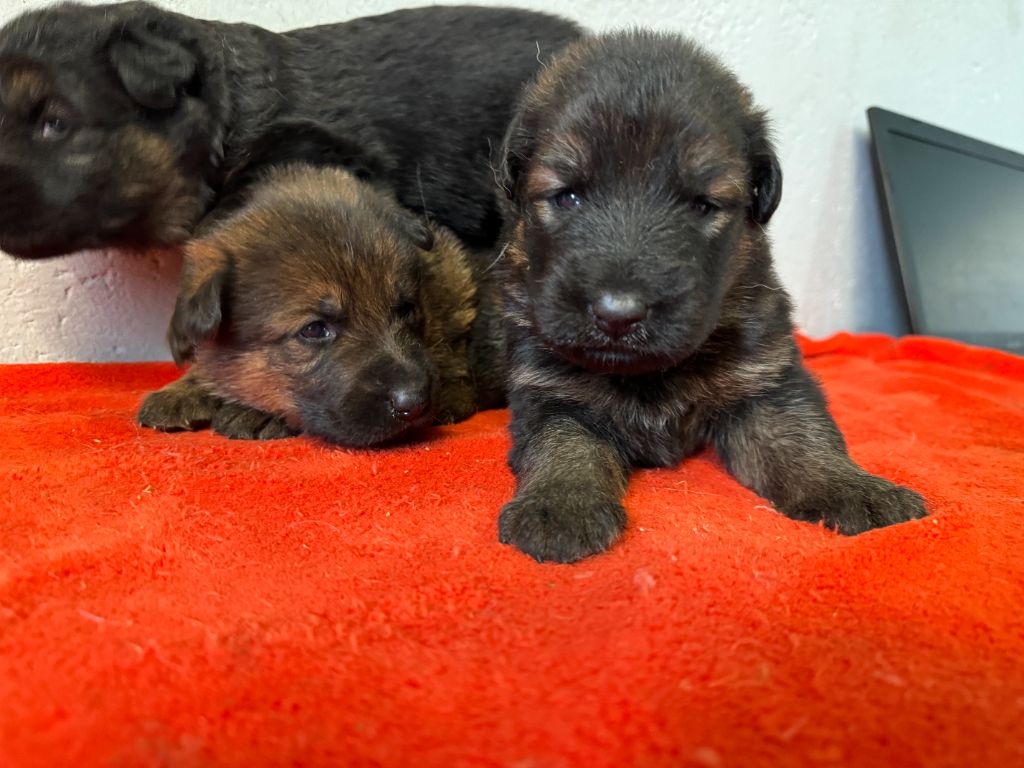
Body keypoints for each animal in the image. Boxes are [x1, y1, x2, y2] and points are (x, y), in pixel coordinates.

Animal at [493, 31, 927, 563]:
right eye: (566, 195)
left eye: (702, 205)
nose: (618, 315)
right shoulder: (549, 389)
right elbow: (562, 446)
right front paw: (560, 505)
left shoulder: (765, 383)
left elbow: (803, 439)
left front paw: (854, 488)